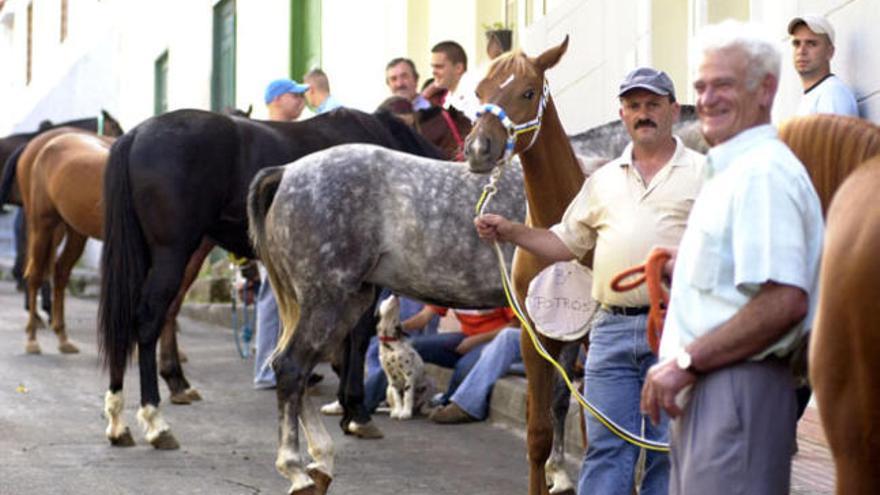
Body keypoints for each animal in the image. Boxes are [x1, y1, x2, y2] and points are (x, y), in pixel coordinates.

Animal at [248, 144, 524, 495]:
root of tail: (285, 173)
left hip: (342, 304)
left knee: (298, 369)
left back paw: (321, 463)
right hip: (327, 303)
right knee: (291, 367)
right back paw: (298, 470)